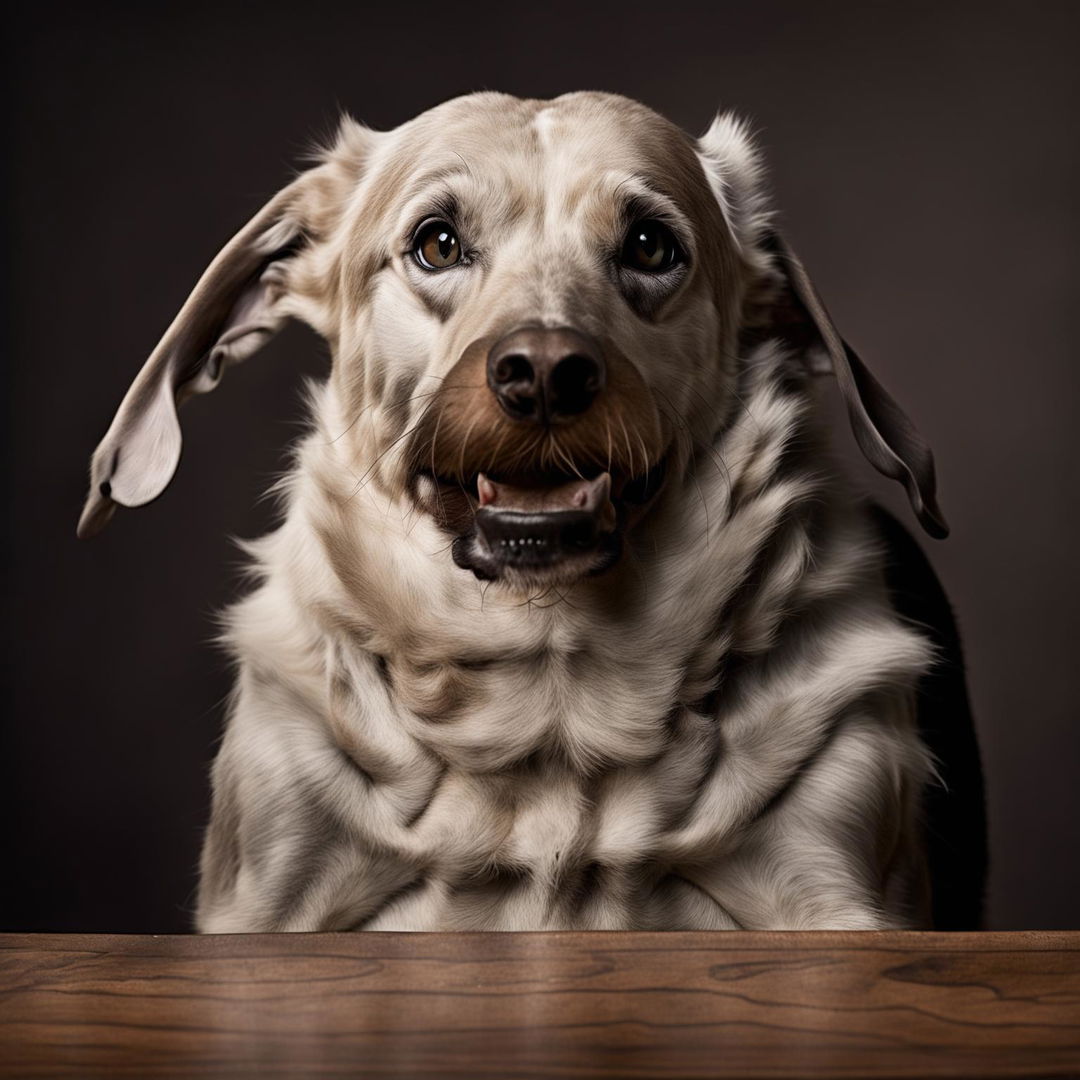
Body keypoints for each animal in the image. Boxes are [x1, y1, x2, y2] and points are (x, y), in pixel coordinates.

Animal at [78, 92, 989, 933]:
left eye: (650, 245)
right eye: (438, 242)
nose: (546, 373)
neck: (551, 688)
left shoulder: (825, 885)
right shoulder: (277, 893)